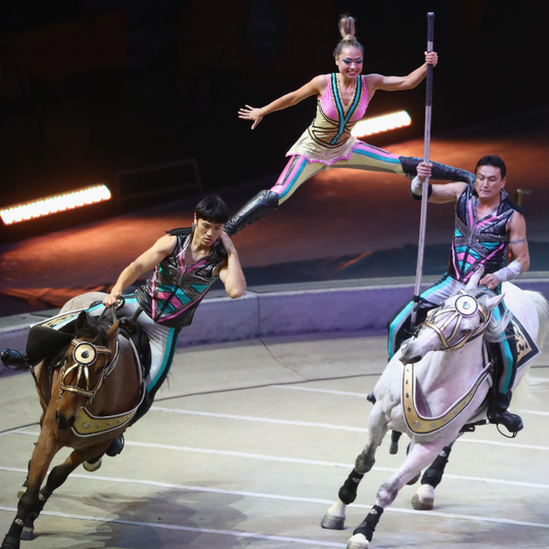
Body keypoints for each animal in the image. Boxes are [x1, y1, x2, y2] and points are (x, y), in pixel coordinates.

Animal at [1, 308, 143, 548]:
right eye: (66, 358)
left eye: (101, 368)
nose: (65, 418)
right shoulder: (50, 434)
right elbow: (31, 490)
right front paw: (13, 535)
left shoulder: (96, 444)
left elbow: (57, 475)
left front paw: (33, 513)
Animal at [322, 270, 548, 548]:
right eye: (438, 308)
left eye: (466, 329)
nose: (410, 350)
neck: (430, 381)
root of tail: (524, 293)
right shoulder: (378, 416)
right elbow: (364, 462)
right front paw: (337, 510)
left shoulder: (430, 444)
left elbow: (388, 489)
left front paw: (363, 532)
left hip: (459, 424)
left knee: (449, 444)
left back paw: (425, 489)